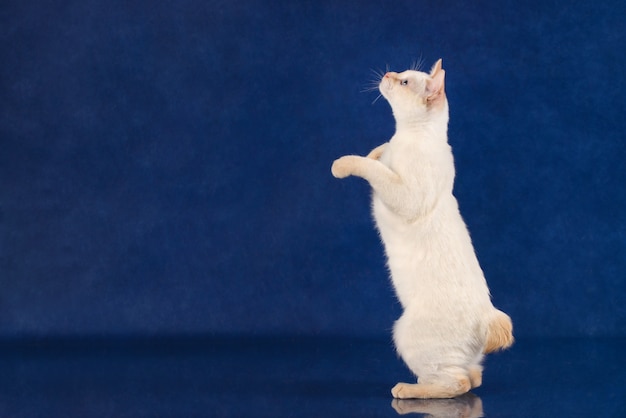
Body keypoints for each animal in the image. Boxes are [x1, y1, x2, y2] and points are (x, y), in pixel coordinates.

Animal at [332, 58, 512, 398]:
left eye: (404, 82)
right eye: (399, 74)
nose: (387, 74)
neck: (407, 134)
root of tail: (488, 317)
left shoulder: (404, 194)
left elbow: (370, 166)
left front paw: (341, 165)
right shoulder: (388, 150)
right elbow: (377, 152)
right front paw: (377, 151)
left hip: (405, 335)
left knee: (458, 384)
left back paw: (408, 389)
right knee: (473, 377)